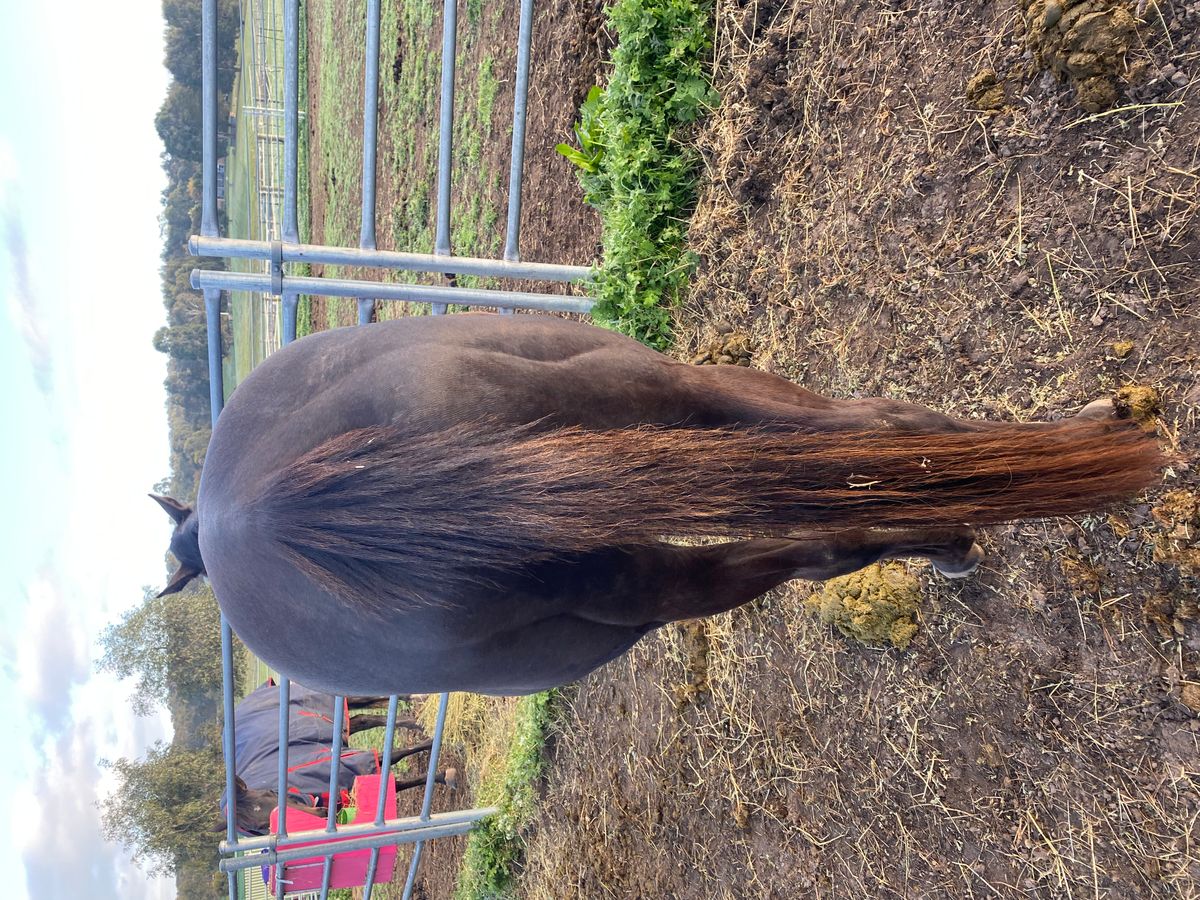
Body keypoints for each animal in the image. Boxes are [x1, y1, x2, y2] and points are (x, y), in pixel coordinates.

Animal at [156, 314, 1161, 697]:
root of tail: (271, 513)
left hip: (643, 399)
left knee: (858, 438)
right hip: (640, 538)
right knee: (834, 504)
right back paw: (977, 514)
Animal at [222, 681, 454, 835]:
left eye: (270, 794)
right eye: (261, 827)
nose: (320, 814)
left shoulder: (349, 761)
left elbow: (396, 755)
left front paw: (437, 745)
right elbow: (396, 783)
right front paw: (443, 775)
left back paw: (421, 701)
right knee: (364, 717)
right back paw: (415, 720)